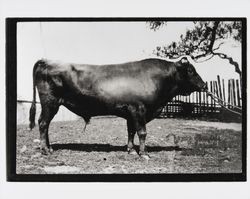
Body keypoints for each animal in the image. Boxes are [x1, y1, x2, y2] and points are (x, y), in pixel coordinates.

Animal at [28, 57, 207, 159]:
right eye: (191, 70)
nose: (204, 85)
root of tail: (46, 61)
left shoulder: (131, 113)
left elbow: (131, 132)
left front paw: (131, 150)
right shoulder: (139, 109)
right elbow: (142, 132)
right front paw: (144, 153)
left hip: (52, 104)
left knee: (45, 124)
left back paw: (50, 148)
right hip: (50, 102)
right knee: (43, 123)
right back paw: (45, 150)